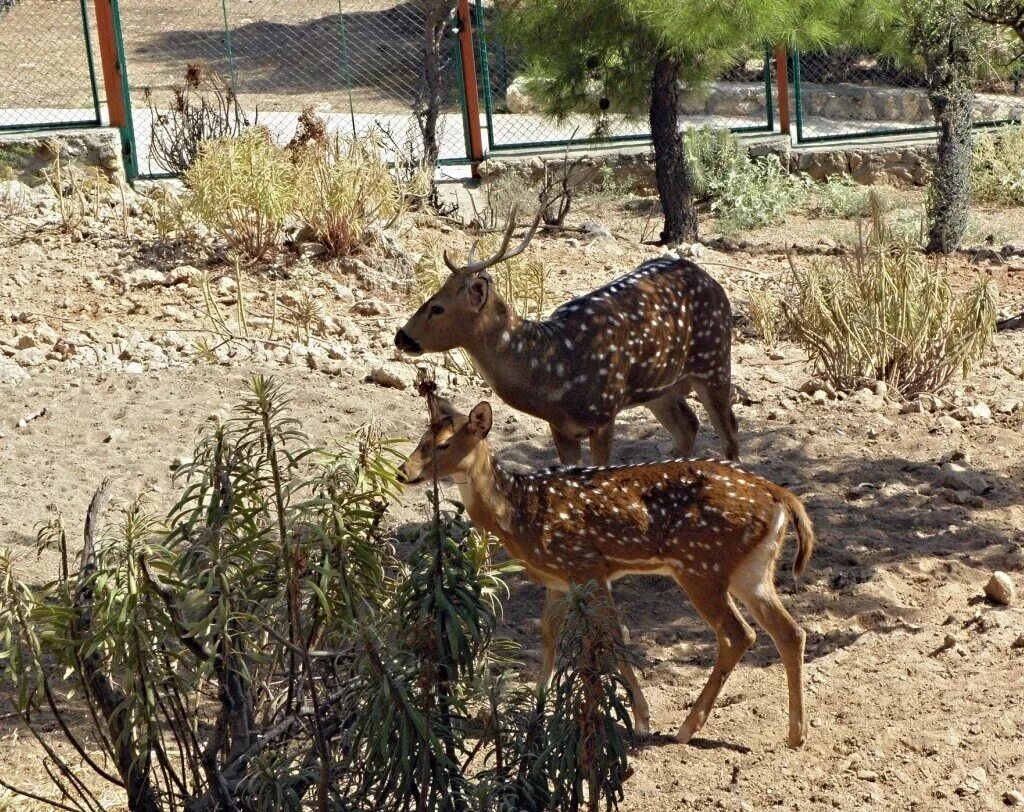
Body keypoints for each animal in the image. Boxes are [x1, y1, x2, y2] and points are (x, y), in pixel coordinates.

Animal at [395, 205, 741, 464]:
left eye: (437, 307)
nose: (401, 337)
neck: (554, 377)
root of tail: (711, 279)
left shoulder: (603, 414)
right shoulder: (560, 428)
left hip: (714, 360)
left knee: (730, 434)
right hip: (659, 388)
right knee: (689, 426)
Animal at [399, 395, 815, 749]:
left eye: (443, 444)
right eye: (422, 436)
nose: (405, 471)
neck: (519, 514)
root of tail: (781, 496)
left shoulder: (586, 565)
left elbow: (612, 635)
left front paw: (642, 719)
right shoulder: (559, 578)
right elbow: (549, 635)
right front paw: (537, 709)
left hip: (702, 566)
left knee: (738, 634)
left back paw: (687, 728)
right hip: (753, 569)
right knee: (790, 632)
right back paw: (795, 734)